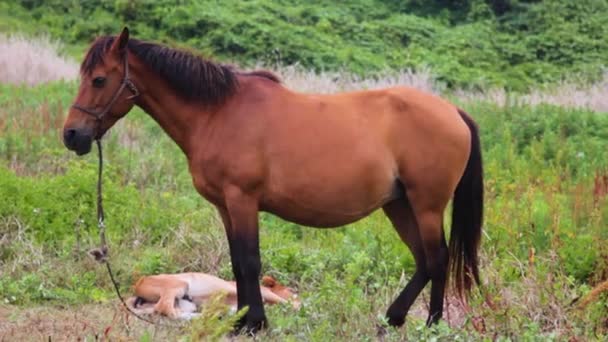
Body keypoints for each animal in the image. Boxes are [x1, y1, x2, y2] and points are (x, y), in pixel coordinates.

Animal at [63, 28, 484, 332]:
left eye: (98, 79)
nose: (72, 136)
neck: (217, 113)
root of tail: (454, 112)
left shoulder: (242, 200)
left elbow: (250, 262)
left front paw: (255, 324)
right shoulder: (225, 206)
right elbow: (237, 263)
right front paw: (242, 321)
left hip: (426, 205)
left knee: (437, 258)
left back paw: (431, 324)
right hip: (399, 205)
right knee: (424, 261)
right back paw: (392, 318)